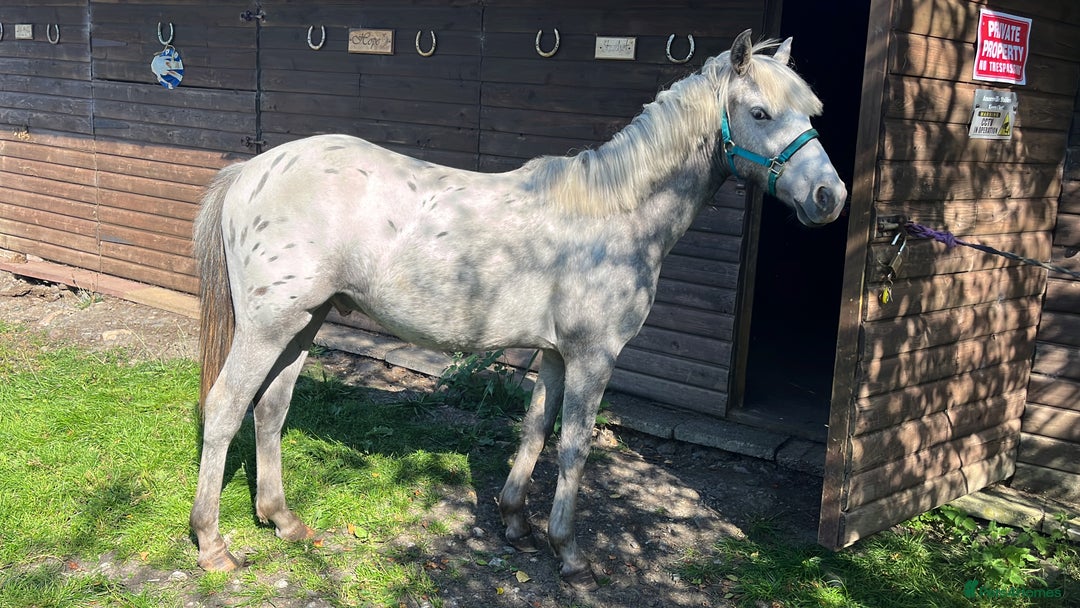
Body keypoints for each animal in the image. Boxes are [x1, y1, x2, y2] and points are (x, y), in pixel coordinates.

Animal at [189, 29, 847, 589]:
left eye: (811, 114)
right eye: (759, 113)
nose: (830, 197)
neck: (615, 214)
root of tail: (251, 170)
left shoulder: (555, 356)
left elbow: (534, 429)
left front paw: (515, 524)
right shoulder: (592, 359)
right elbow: (575, 447)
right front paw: (571, 555)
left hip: (304, 324)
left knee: (270, 409)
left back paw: (283, 520)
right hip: (268, 329)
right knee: (223, 409)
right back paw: (213, 545)